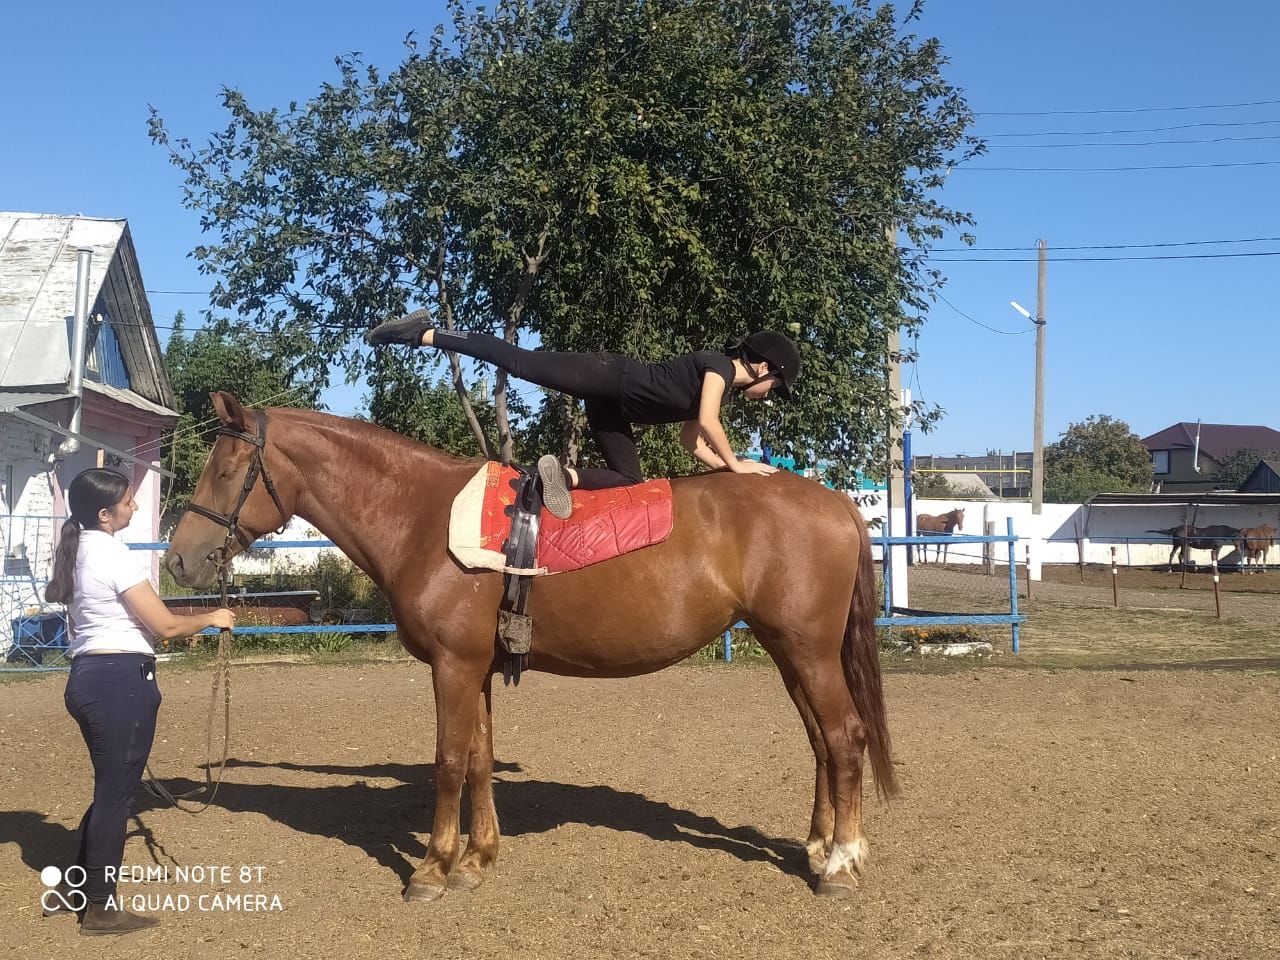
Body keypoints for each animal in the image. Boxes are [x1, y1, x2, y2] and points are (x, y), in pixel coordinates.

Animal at [165, 394, 896, 906]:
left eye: (227, 470)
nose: (178, 561)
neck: (423, 517)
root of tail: (836, 502)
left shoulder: (454, 667)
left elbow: (448, 762)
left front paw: (431, 869)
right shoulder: (476, 668)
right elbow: (480, 760)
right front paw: (477, 859)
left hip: (807, 651)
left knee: (845, 737)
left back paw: (841, 865)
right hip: (790, 652)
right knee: (822, 742)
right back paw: (818, 847)